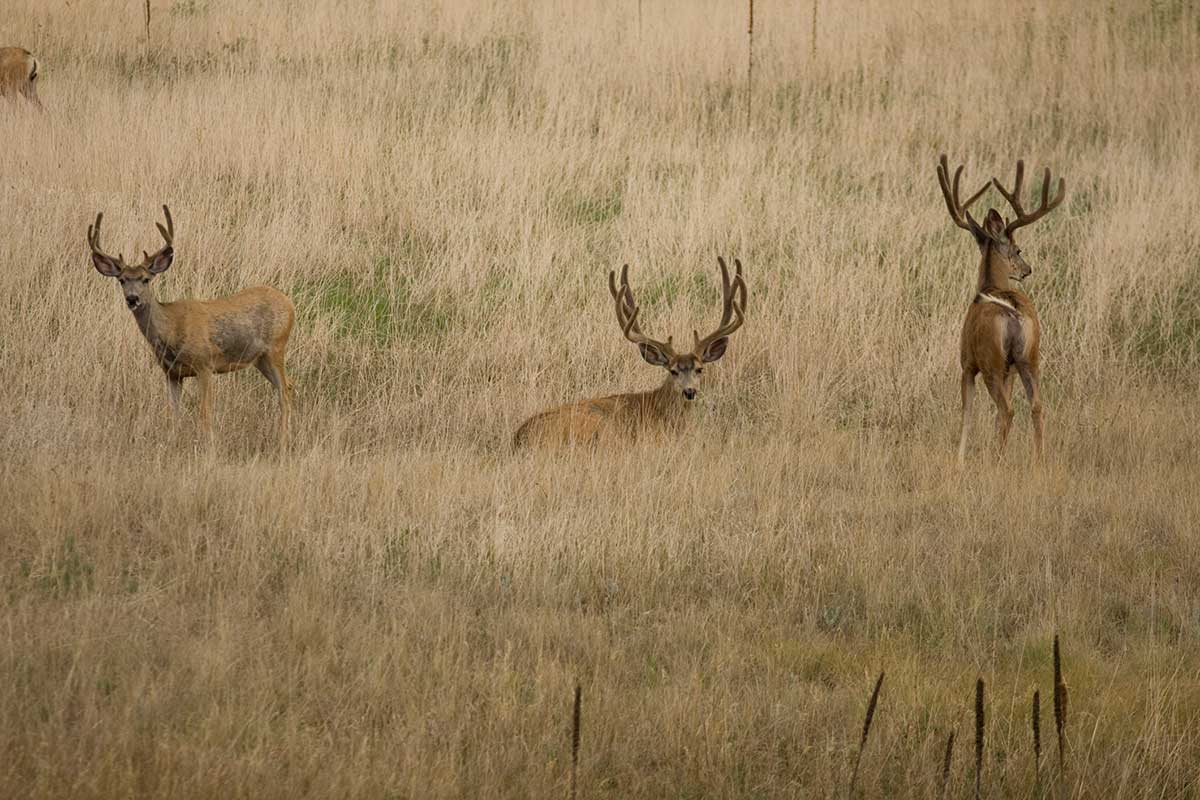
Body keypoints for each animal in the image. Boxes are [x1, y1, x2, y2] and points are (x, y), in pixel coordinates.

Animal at [89, 205, 296, 445]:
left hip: (276, 346)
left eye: (145, 279)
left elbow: (204, 412)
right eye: (122, 280)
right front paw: (172, 442)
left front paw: (209, 446)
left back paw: (283, 442)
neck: (171, 329)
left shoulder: (204, 363)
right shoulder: (171, 372)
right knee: (287, 385)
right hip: (259, 358)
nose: (132, 299)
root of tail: (289, 303)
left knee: (284, 392)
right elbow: (173, 414)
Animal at [937, 154, 1065, 464]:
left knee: (1007, 409)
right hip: (1029, 357)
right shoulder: (1010, 369)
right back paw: (1037, 460)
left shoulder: (967, 362)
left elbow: (967, 413)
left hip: (992, 361)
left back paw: (997, 460)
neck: (989, 286)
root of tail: (1014, 313)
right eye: (1018, 250)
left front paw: (959, 461)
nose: (1027, 269)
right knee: (1036, 406)